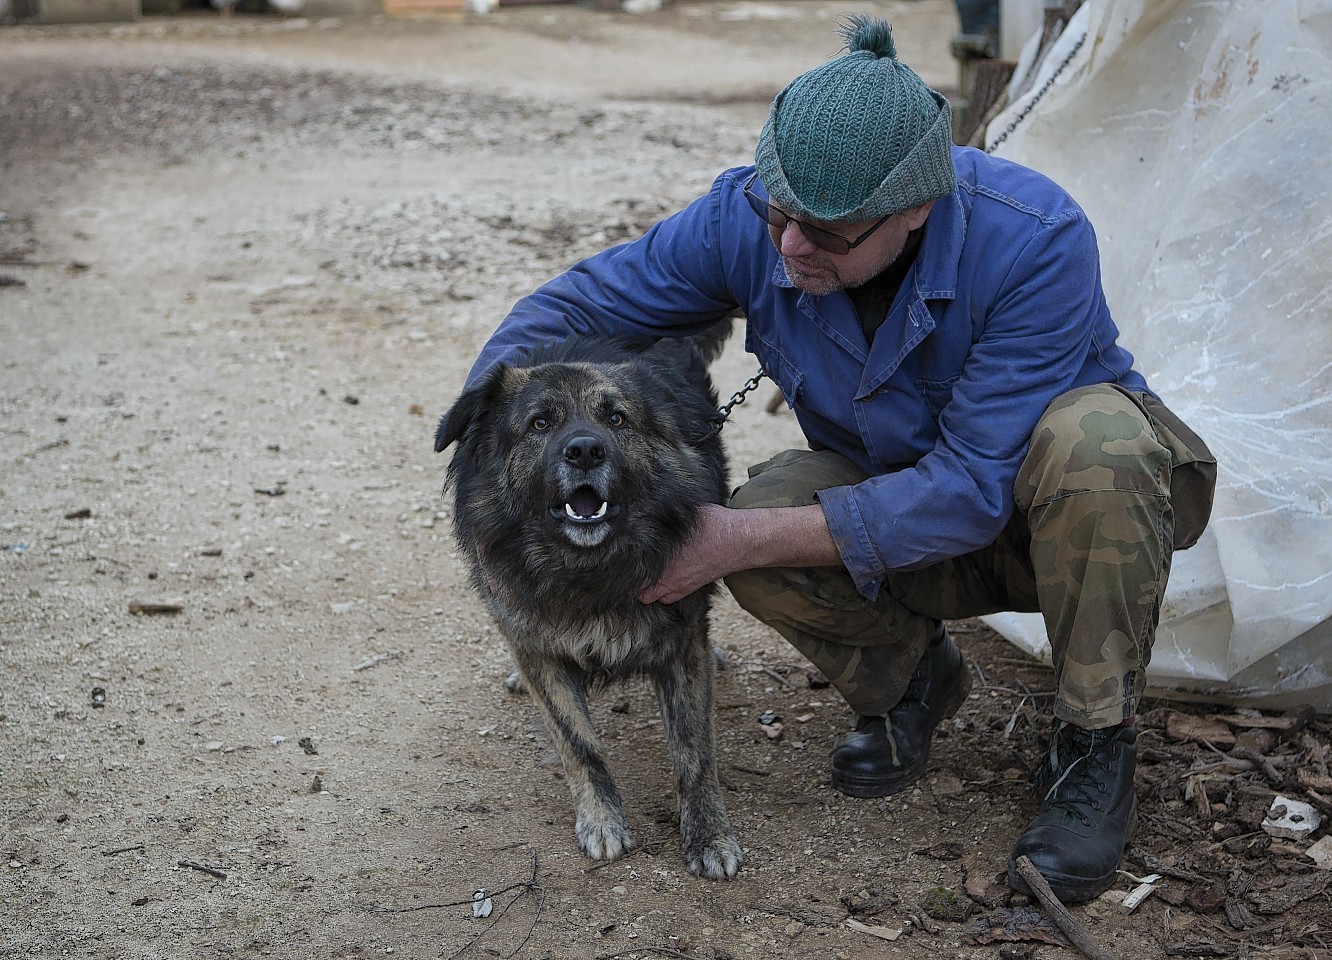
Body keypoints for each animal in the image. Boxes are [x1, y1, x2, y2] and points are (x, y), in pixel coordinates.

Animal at [439, 332, 745, 878]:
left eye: (616, 418)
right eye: (540, 422)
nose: (585, 450)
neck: (588, 569)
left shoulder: (682, 643)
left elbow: (694, 751)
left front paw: (709, 834)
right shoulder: (539, 649)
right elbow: (580, 744)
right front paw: (602, 821)